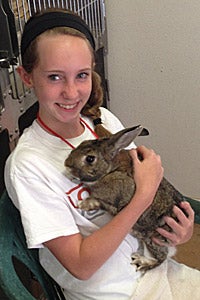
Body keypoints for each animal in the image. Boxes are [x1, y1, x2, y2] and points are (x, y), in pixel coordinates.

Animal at [64, 124, 184, 272]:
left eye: (90, 158)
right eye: (81, 143)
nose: (67, 164)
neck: (111, 169)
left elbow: (101, 201)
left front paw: (83, 204)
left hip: (155, 238)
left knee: (161, 258)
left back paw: (141, 262)